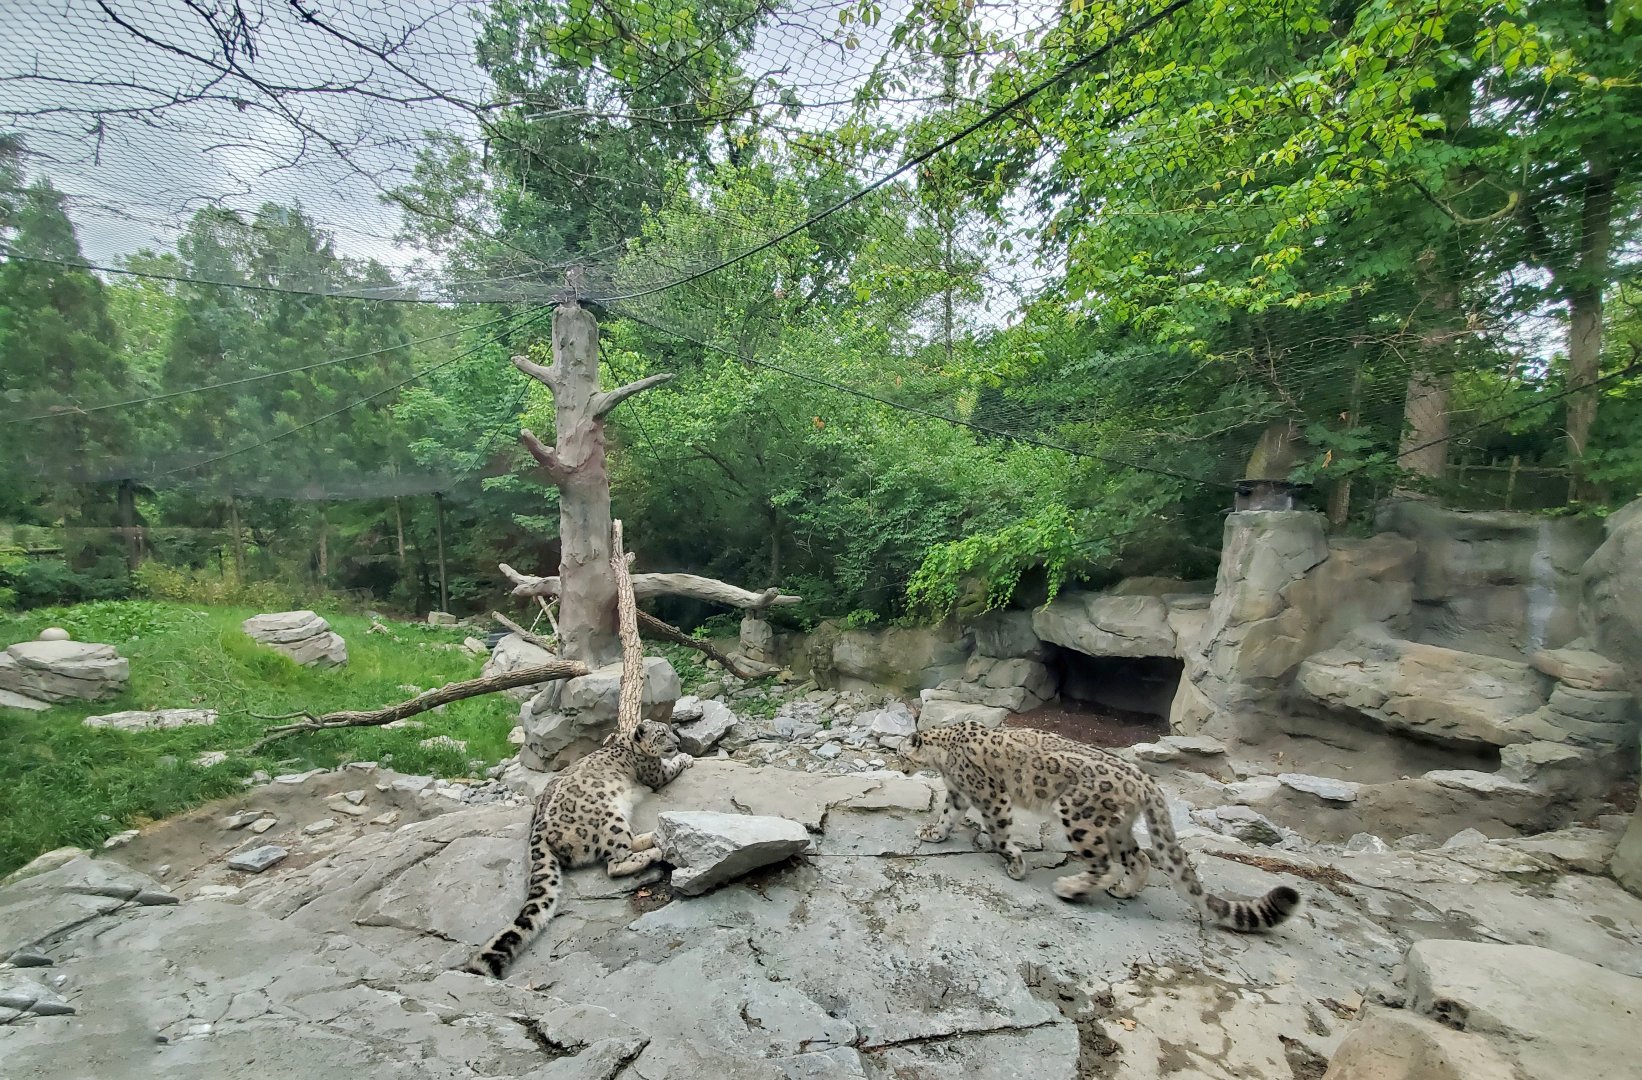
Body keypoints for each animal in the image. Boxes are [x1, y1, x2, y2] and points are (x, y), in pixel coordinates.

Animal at [464, 718, 694, 977]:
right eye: (661, 734)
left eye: (669, 730)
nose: (678, 741)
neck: (628, 744)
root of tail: (537, 833)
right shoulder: (657, 773)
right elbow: (671, 766)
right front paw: (686, 757)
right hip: (611, 819)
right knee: (615, 862)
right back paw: (655, 851)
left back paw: (655, 835)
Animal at [901, 721, 1300, 932]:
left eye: (901, 753)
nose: (900, 764)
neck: (943, 757)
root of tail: (1145, 780)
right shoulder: (958, 793)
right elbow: (948, 815)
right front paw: (933, 833)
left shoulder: (990, 796)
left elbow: (999, 834)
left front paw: (1014, 863)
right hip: (1116, 827)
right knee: (1139, 858)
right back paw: (1123, 891)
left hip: (1079, 815)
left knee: (1105, 863)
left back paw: (1069, 887)